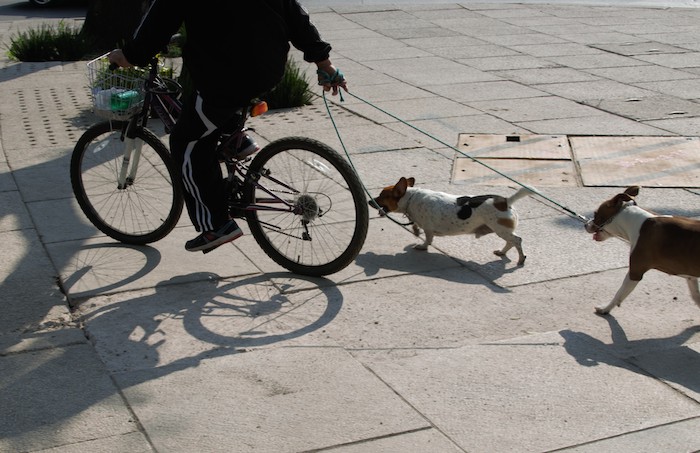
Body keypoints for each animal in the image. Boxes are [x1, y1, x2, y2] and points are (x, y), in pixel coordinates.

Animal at [372, 175, 532, 264]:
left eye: (381, 196)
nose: (369, 201)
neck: (411, 198)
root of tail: (505, 201)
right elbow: (417, 227)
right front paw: (415, 231)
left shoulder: (428, 228)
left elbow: (428, 239)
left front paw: (422, 246)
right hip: (502, 230)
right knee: (510, 242)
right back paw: (502, 252)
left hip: (501, 229)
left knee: (517, 241)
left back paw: (520, 259)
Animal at [584, 184, 700, 314]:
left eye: (595, 214)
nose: (585, 224)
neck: (634, 222)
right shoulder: (691, 277)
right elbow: (696, 296)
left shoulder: (635, 272)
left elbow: (619, 294)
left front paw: (605, 308)